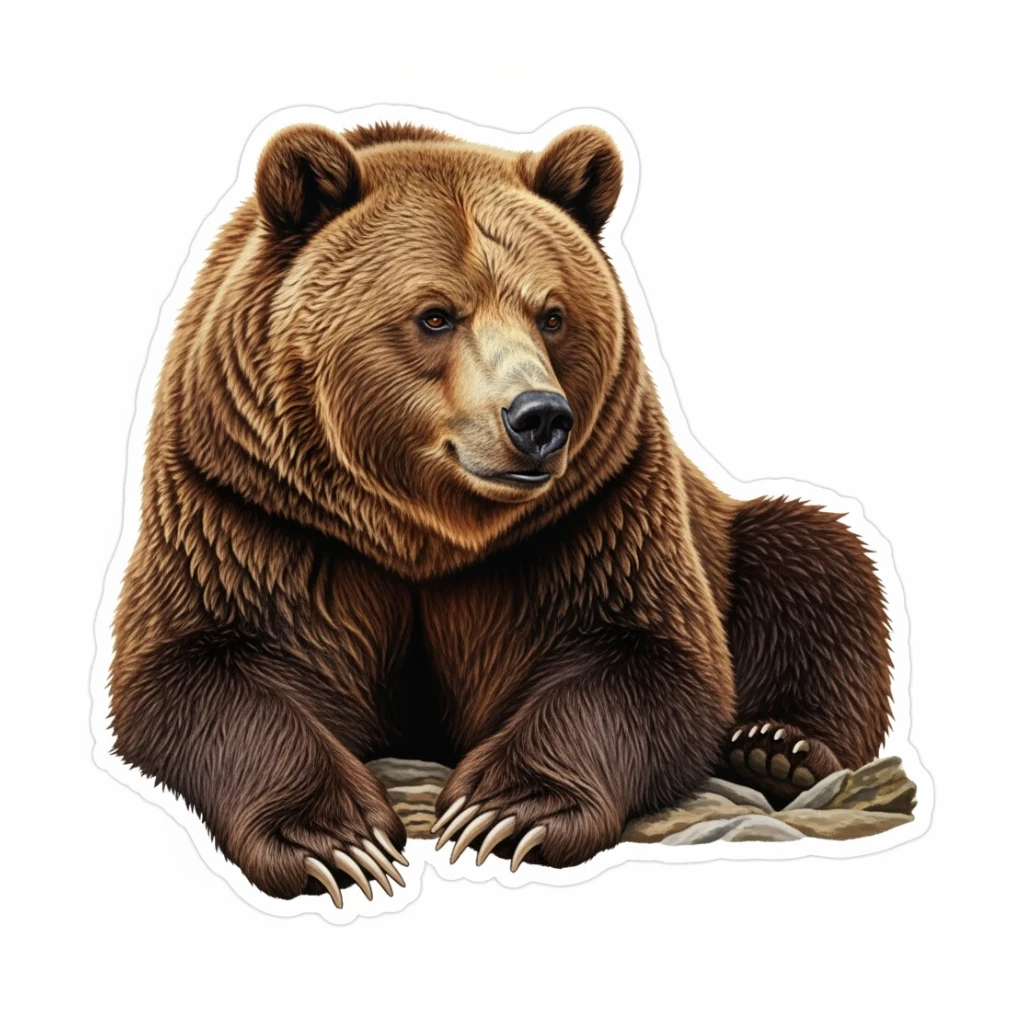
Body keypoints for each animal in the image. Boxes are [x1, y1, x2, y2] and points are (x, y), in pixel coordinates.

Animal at [109, 119, 892, 908]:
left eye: (552, 314)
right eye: (434, 315)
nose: (540, 417)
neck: (425, 528)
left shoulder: (595, 511)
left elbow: (645, 658)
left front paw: (507, 809)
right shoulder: (249, 507)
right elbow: (197, 668)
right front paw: (335, 840)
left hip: (726, 535)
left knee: (813, 557)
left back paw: (778, 748)